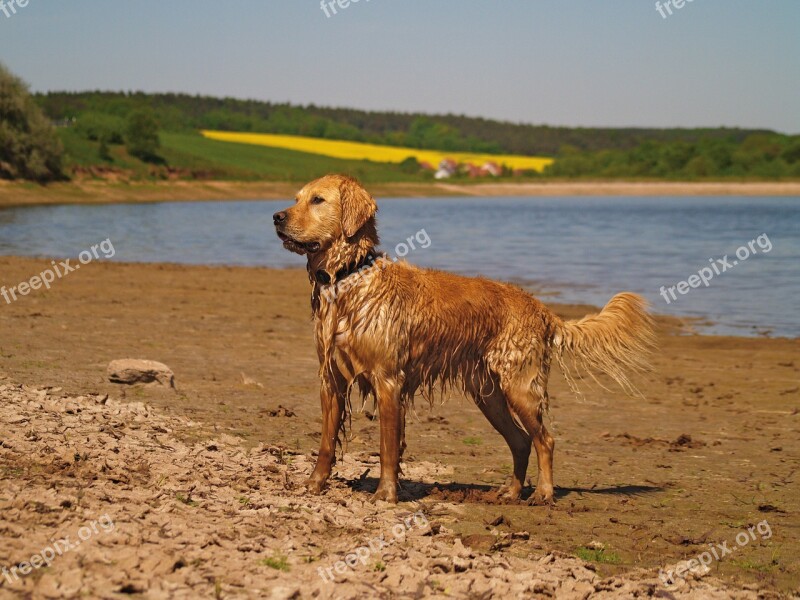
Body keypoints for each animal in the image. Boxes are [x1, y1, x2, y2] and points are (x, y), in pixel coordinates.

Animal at [276, 175, 656, 506]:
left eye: (317, 200)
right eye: (297, 197)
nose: (277, 217)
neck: (349, 277)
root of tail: (541, 308)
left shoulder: (389, 381)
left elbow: (387, 447)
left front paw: (385, 494)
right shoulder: (331, 378)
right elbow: (326, 442)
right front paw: (313, 484)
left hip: (520, 387)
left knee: (544, 440)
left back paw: (543, 494)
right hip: (489, 395)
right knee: (521, 441)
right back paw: (511, 492)